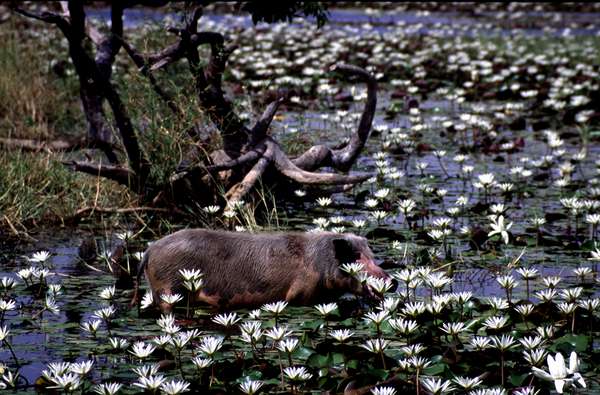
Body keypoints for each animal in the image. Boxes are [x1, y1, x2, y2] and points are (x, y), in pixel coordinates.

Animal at [132, 229, 390, 312]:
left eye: (372, 256)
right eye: (356, 258)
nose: (393, 281)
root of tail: (149, 250)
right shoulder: (300, 294)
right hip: (168, 287)